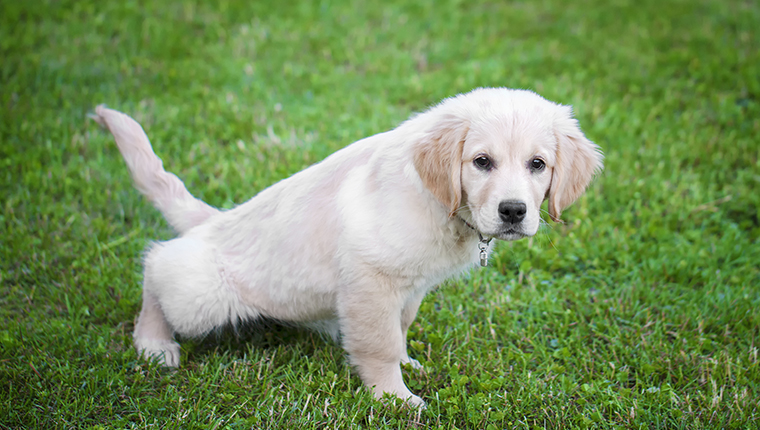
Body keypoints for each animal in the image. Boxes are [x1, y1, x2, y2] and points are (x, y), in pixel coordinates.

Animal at [93, 88, 604, 406]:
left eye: (537, 164)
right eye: (482, 162)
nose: (514, 211)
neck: (440, 202)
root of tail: (212, 221)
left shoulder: (409, 286)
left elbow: (400, 327)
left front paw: (408, 364)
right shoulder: (370, 277)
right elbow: (378, 342)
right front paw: (395, 398)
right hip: (204, 294)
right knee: (157, 266)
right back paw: (154, 343)